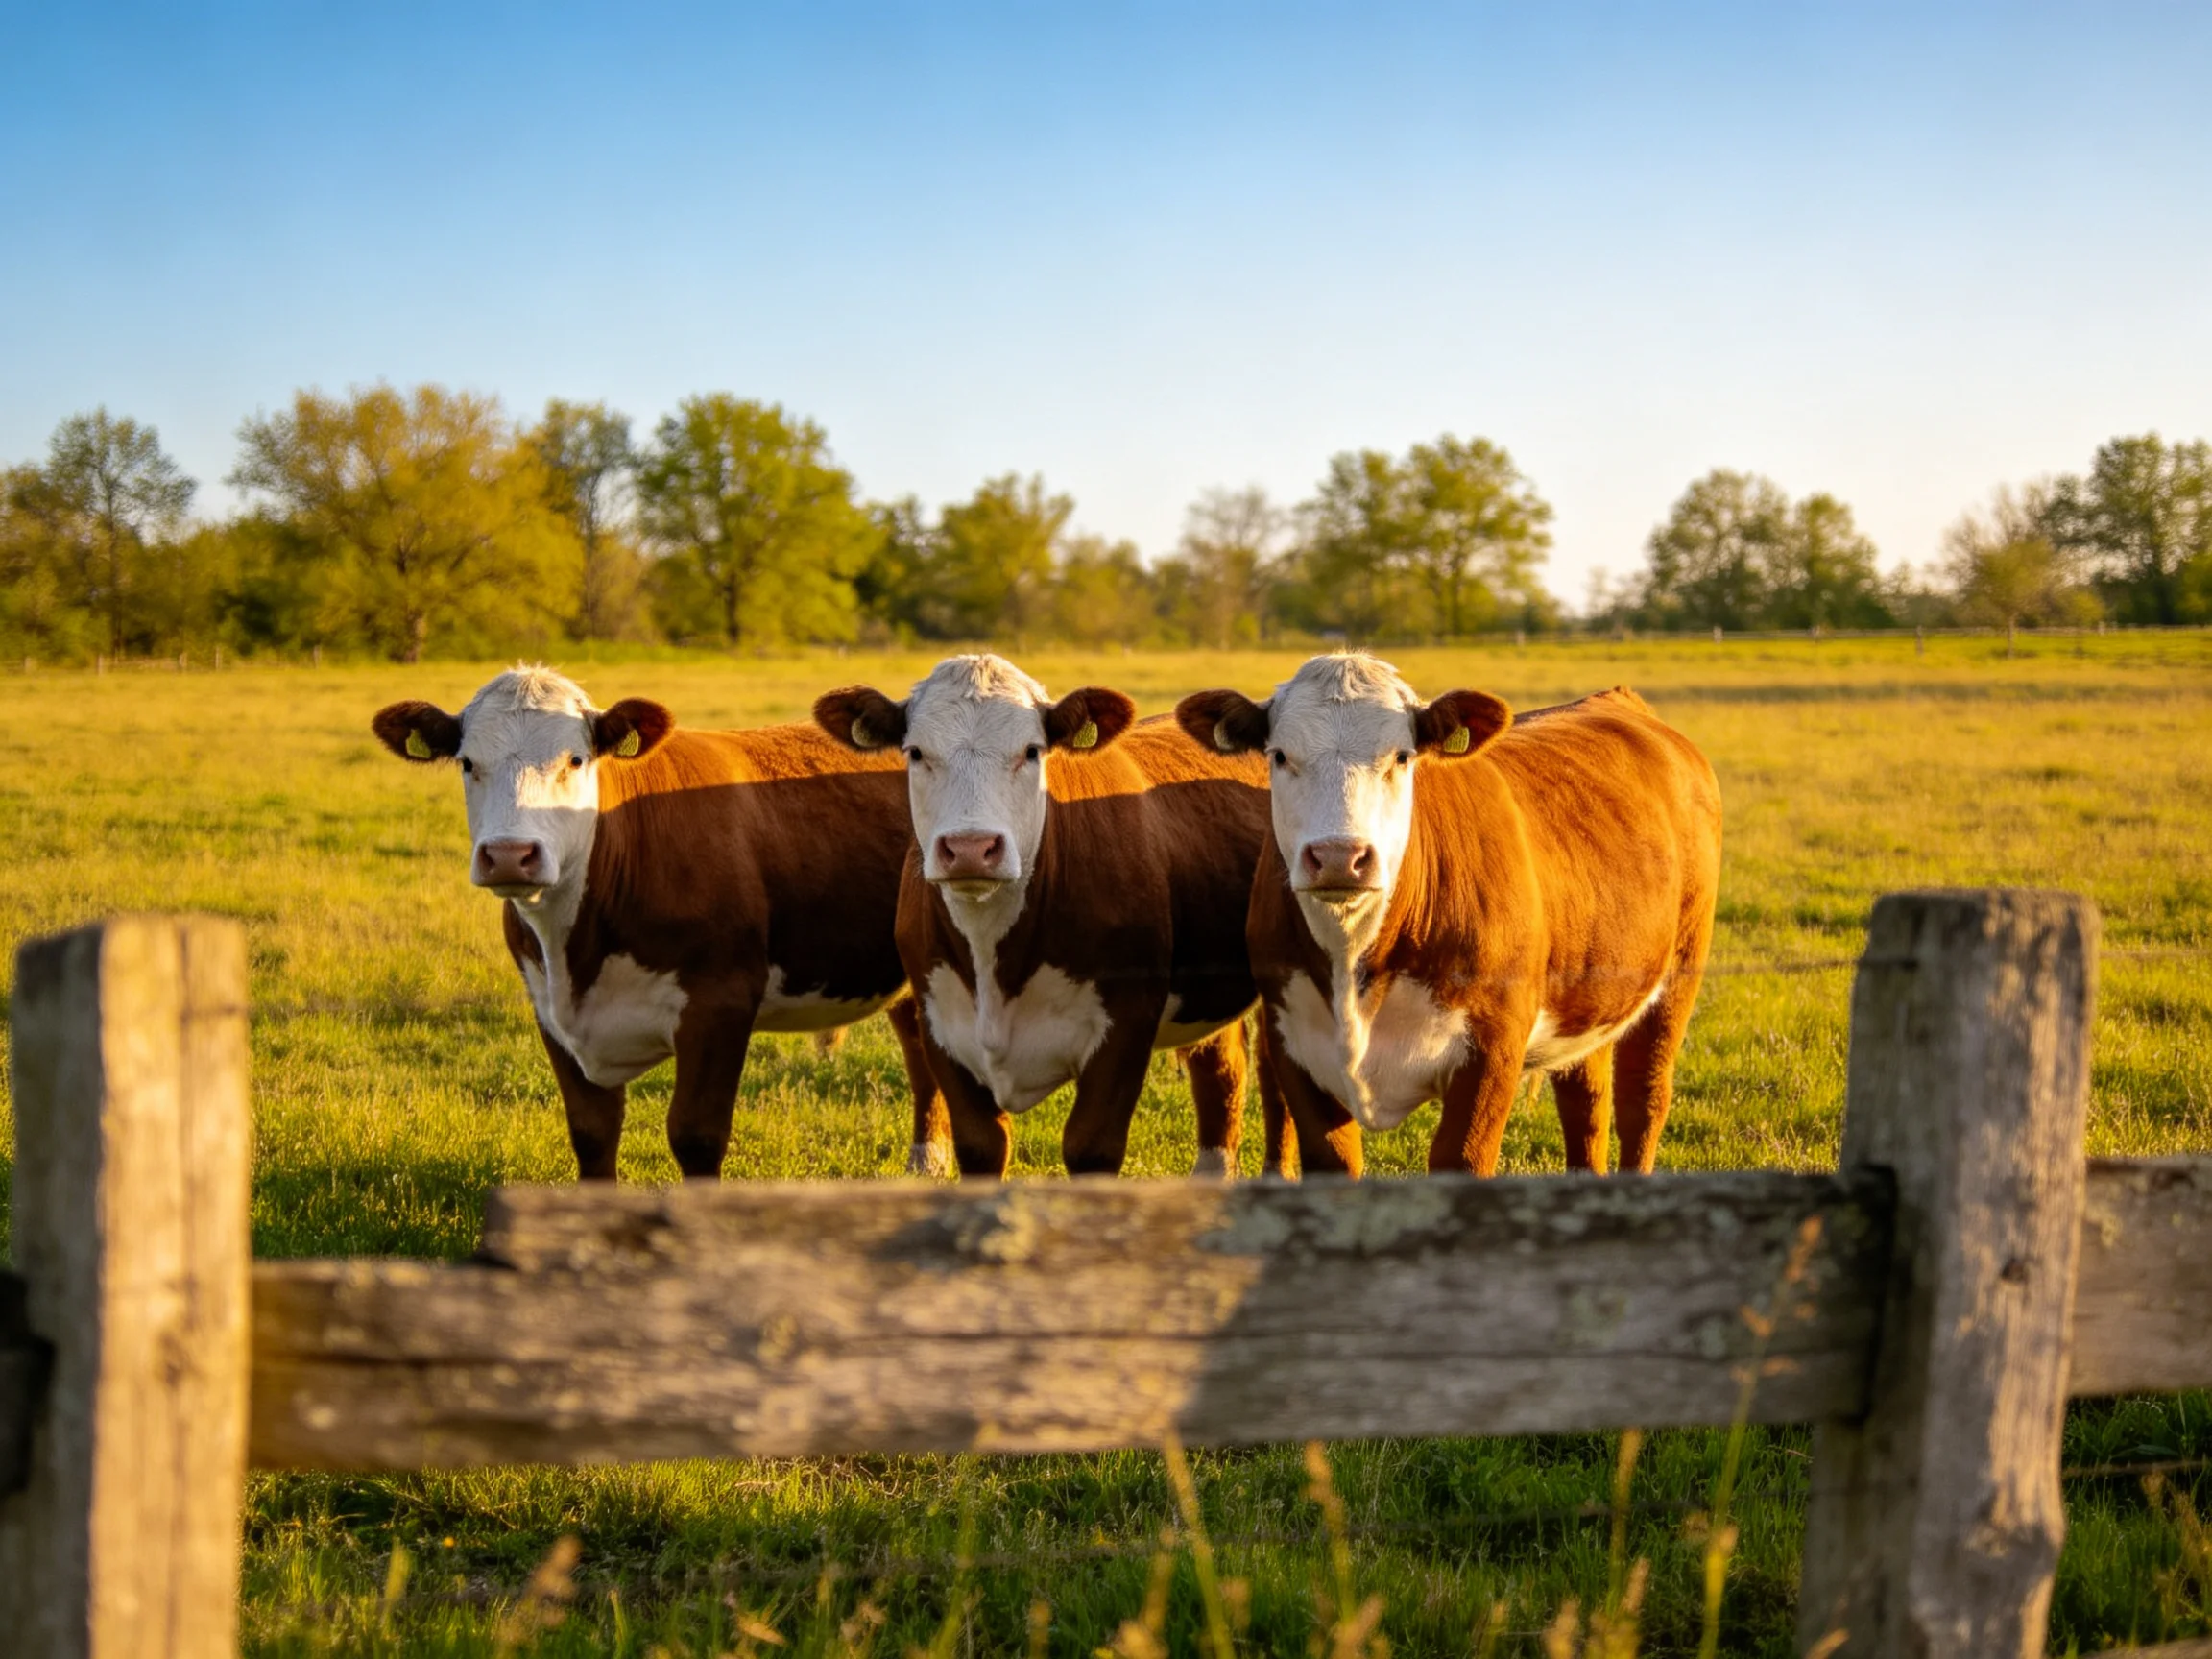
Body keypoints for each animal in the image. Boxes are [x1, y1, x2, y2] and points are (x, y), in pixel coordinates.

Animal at [371, 665, 949, 1180]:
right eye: (468, 763)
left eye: (575, 759)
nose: (510, 855)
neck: (577, 952)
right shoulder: (548, 1007)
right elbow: (592, 1133)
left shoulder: (720, 1002)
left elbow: (696, 1136)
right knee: (919, 1043)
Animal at [813, 654, 1279, 1179]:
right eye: (915, 753)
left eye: (1032, 751)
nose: (971, 848)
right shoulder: (939, 1023)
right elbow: (981, 1147)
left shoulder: (1126, 1024)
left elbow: (1089, 1147)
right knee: (1221, 1066)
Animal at [1175, 652, 1721, 1178]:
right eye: (1280, 755)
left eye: (1401, 756)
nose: (1338, 856)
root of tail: (1619, 701)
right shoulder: (1293, 1047)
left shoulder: (1491, 1050)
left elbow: (1460, 1160)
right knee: (1585, 1100)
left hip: (1680, 972)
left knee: (1641, 1101)